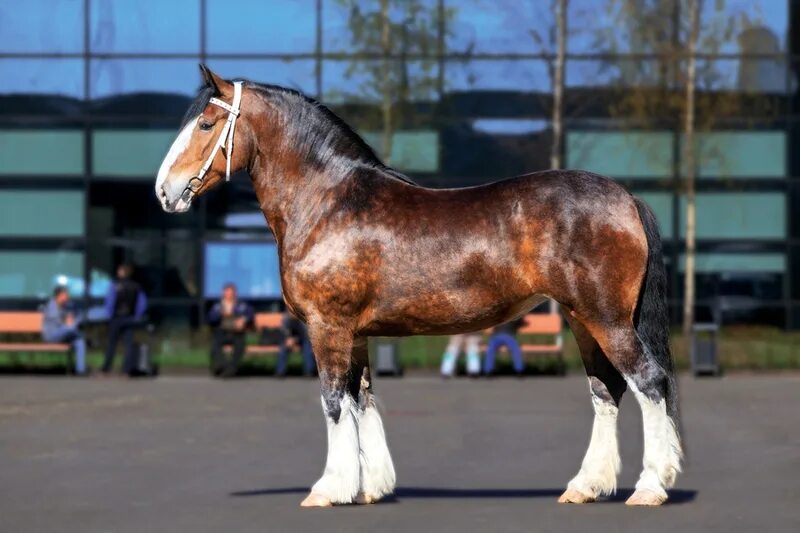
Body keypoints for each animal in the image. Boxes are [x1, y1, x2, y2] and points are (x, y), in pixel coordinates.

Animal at [155, 65, 680, 508]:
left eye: (206, 124)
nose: (164, 190)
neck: (327, 202)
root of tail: (625, 197)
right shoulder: (356, 334)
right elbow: (361, 399)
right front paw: (370, 487)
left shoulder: (328, 328)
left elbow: (333, 402)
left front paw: (329, 489)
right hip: (582, 319)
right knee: (606, 390)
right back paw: (585, 487)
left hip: (607, 320)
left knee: (648, 382)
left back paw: (650, 488)